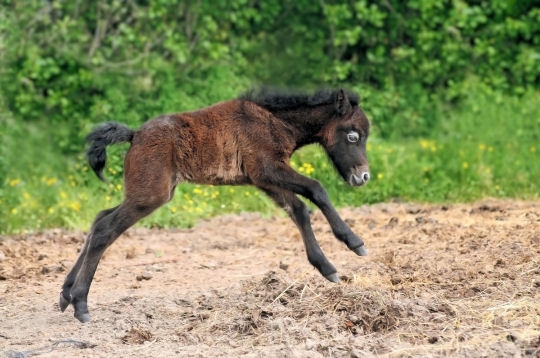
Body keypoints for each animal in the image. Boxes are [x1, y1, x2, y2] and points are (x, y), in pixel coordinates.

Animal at [60, 88, 372, 324]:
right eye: (353, 135)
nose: (363, 177)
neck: (273, 120)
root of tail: (135, 135)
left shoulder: (263, 179)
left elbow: (298, 210)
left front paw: (326, 267)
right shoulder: (269, 168)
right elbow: (317, 190)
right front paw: (354, 243)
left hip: (146, 192)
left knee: (99, 219)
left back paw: (65, 294)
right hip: (150, 195)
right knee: (105, 229)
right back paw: (81, 305)